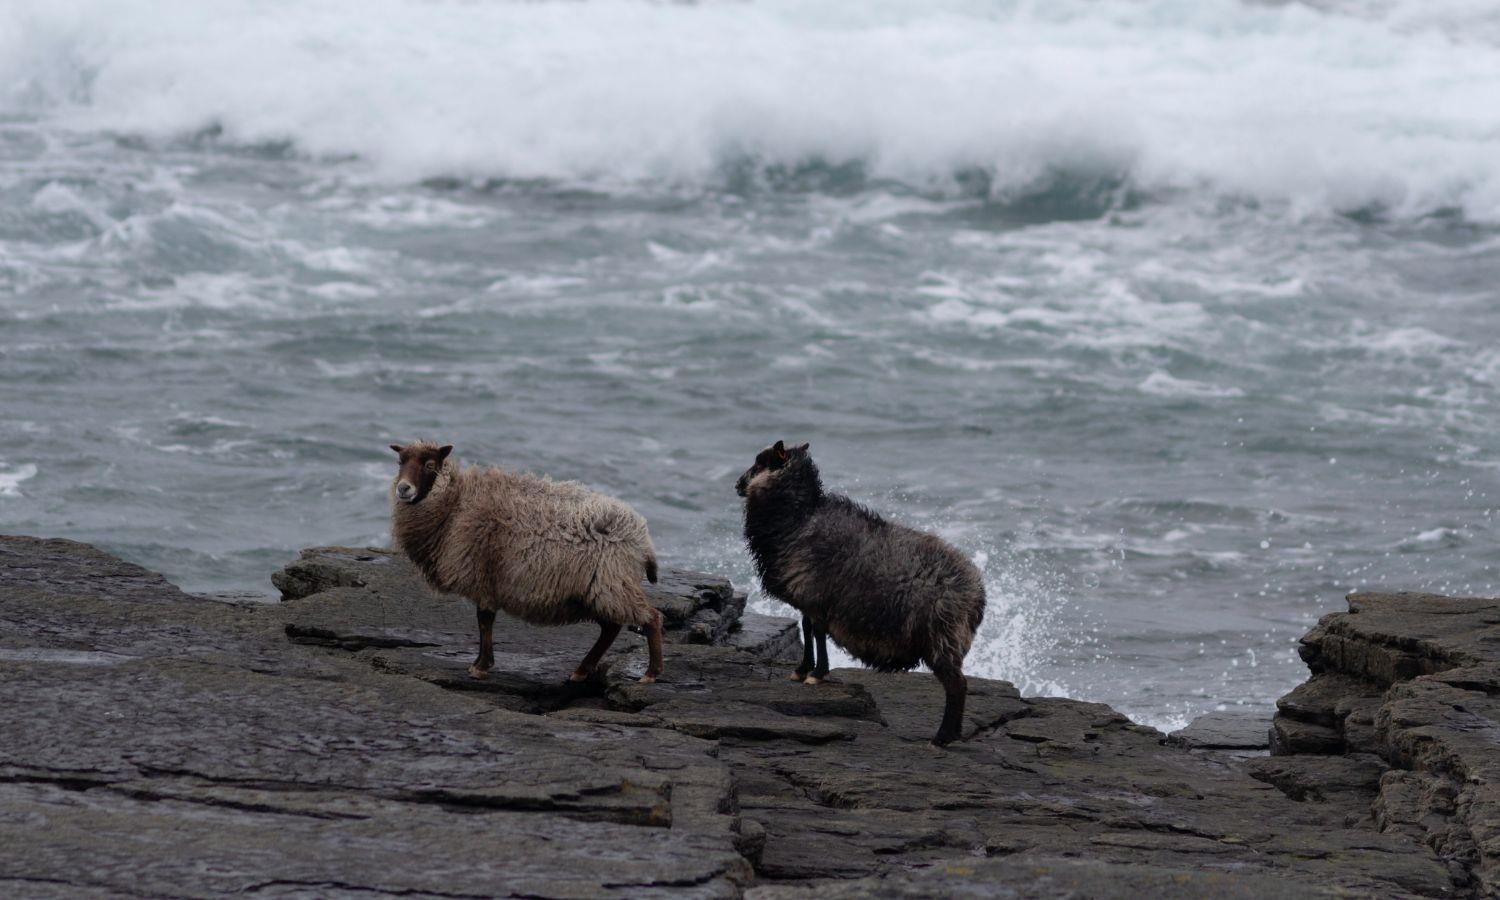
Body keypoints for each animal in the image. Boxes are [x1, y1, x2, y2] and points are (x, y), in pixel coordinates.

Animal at [388, 441, 664, 684]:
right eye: (400, 462)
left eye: (430, 465)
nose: (403, 489)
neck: (455, 504)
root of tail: (643, 538)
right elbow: (484, 621)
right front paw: (479, 663)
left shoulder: (482, 575)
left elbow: (484, 620)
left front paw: (481, 666)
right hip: (599, 590)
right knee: (611, 627)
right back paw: (581, 671)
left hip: (613, 582)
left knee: (650, 618)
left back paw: (651, 673)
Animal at [736, 441, 987, 747]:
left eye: (761, 462)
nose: (737, 484)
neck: (799, 519)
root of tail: (977, 591)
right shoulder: (811, 597)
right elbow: (808, 629)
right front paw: (802, 670)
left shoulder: (816, 594)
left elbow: (817, 631)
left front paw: (816, 674)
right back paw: (953, 734)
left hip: (942, 635)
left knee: (957, 685)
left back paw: (941, 738)